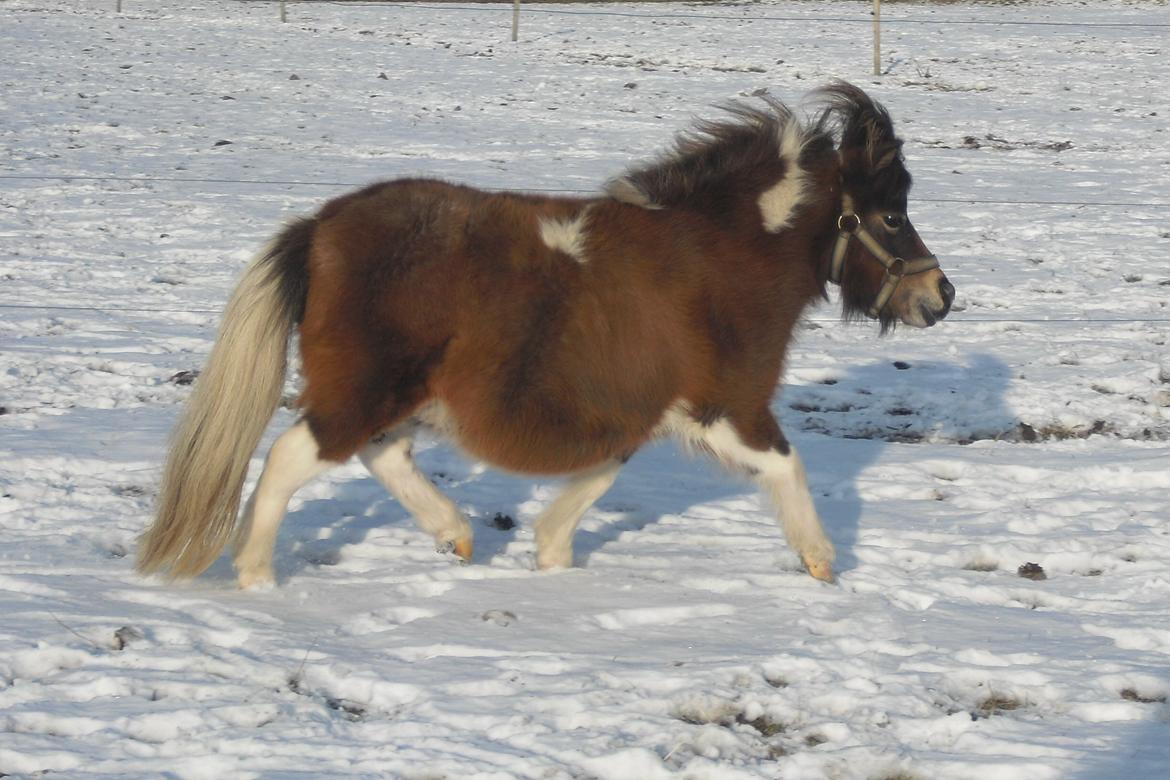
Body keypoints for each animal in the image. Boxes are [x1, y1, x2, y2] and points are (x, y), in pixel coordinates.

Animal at [141, 82, 954, 589]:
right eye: (889, 214)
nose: (940, 295)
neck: (718, 257)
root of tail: (320, 229)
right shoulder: (730, 404)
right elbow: (789, 469)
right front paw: (822, 563)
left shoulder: (636, 403)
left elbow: (601, 473)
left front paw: (551, 556)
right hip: (361, 388)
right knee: (292, 458)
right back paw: (257, 575)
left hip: (392, 392)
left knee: (381, 452)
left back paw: (455, 534)